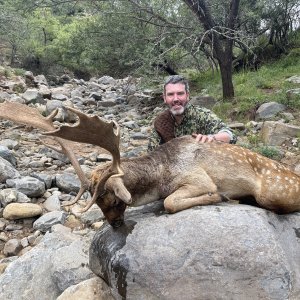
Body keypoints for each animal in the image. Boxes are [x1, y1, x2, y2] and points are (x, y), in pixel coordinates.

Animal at [0, 101, 298, 227]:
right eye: (96, 202)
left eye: (113, 198)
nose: (115, 225)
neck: (162, 173)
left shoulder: (199, 178)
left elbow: (170, 202)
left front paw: (220, 196)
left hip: (276, 189)